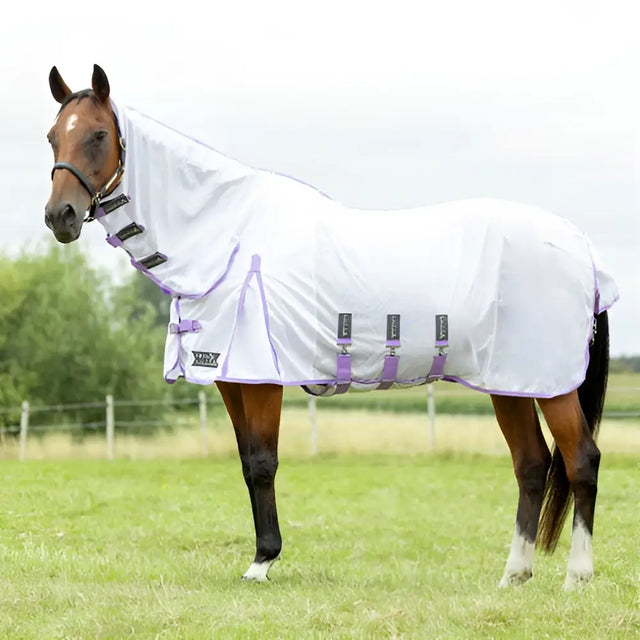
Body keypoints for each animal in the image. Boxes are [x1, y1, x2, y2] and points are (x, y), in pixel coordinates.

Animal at [44, 64, 617, 590]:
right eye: (53, 135)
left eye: (98, 134)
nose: (60, 217)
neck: (230, 236)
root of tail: (583, 249)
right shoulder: (231, 379)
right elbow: (246, 461)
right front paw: (261, 556)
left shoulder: (263, 379)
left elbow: (263, 462)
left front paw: (263, 561)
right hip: (510, 383)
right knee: (531, 464)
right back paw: (514, 575)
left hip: (549, 384)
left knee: (581, 459)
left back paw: (577, 575)